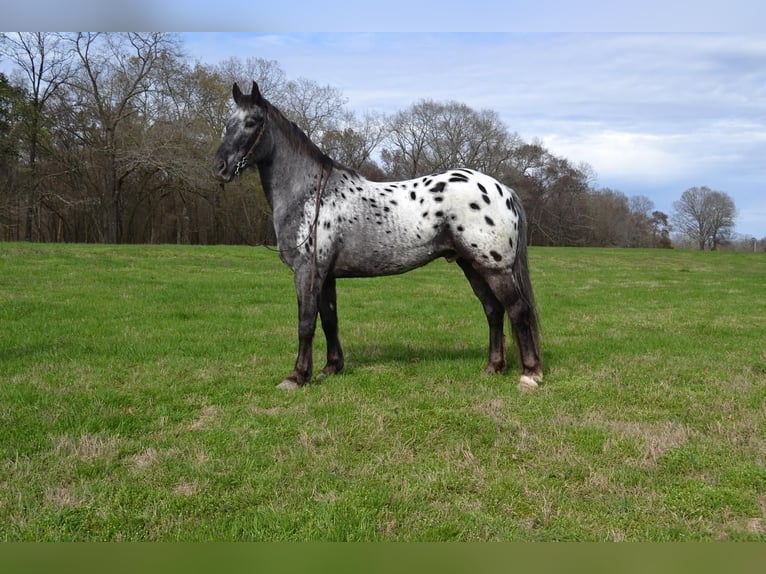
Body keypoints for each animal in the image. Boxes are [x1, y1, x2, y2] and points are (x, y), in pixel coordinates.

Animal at [213, 81, 544, 392]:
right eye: (228, 122)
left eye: (252, 122)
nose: (220, 167)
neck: (310, 193)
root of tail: (502, 189)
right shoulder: (325, 275)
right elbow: (329, 320)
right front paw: (330, 368)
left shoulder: (306, 273)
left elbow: (306, 323)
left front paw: (296, 376)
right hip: (473, 265)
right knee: (493, 310)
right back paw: (493, 367)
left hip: (494, 267)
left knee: (517, 310)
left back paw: (530, 374)